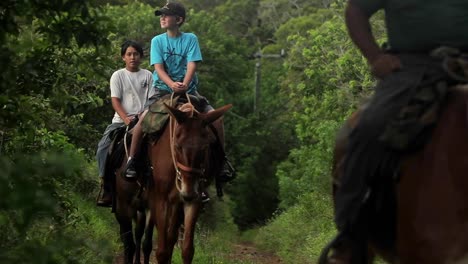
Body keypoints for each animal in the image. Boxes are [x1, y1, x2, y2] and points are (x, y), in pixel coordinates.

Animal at [148, 99, 232, 264]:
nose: (188, 191)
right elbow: (161, 251)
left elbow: (187, 250)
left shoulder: (194, 200)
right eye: (177, 145)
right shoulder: (162, 199)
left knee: (172, 237)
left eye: (206, 146)